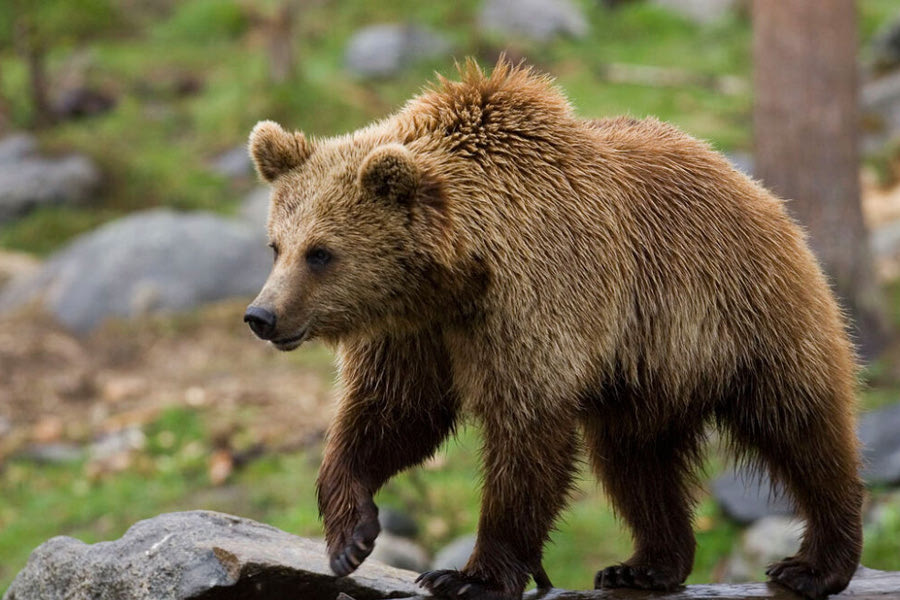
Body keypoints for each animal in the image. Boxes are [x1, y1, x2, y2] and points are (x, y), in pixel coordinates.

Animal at [244, 59, 864, 600]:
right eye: (276, 245)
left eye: (321, 253)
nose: (261, 316)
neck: (459, 273)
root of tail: (757, 188)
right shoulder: (417, 331)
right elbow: (394, 412)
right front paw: (350, 535)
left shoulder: (538, 299)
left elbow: (525, 433)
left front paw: (467, 576)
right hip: (647, 369)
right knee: (634, 459)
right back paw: (646, 564)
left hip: (742, 314)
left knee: (800, 425)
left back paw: (815, 563)